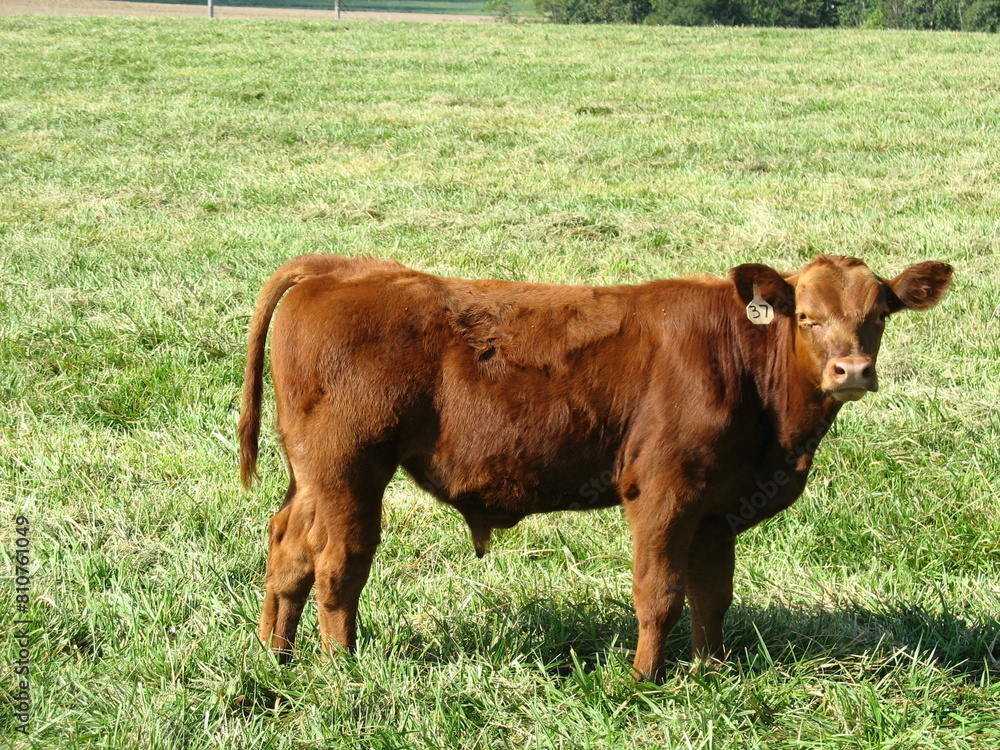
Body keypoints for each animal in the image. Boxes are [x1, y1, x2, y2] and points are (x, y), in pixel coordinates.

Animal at [238, 254, 948, 680]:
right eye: (806, 315)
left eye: (879, 314)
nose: (851, 371)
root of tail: (345, 266)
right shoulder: (664, 491)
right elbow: (659, 592)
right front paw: (643, 680)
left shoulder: (718, 507)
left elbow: (713, 595)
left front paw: (712, 673)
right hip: (350, 468)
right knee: (339, 563)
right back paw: (342, 667)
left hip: (313, 473)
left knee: (288, 549)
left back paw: (276, 654)